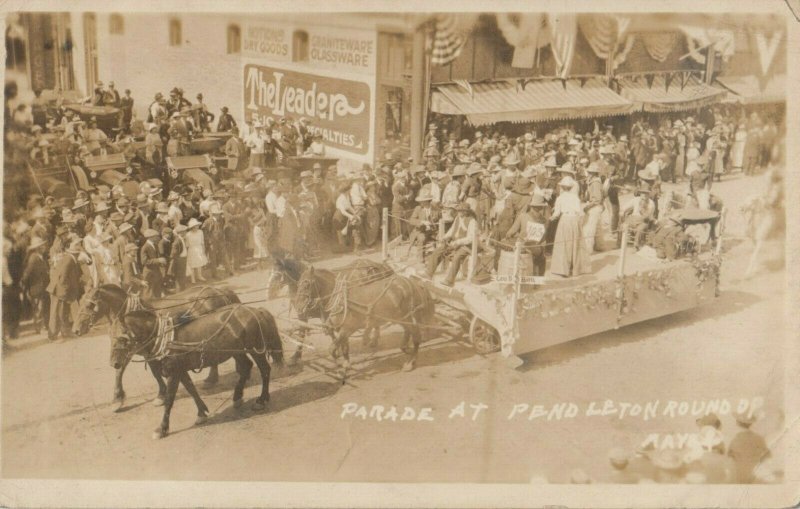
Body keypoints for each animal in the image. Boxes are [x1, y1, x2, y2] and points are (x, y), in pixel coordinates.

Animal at [74, 284, 239, 410]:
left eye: (89, 305)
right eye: (79, 304)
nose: (75, 330)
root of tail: (219, 291)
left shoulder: (140, 350)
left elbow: (151, 372)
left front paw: (160, 395)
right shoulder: (132, 350)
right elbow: (121, 371)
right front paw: (117, 399)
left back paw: (213, 378)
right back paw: (212, 378)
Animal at [119, 304, 282, 438]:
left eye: (122, 337)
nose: (116, 363)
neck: (166, 339)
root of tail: (257, 310)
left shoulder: (173, 373)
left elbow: (170, 400)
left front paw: (162, 428)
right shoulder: (181, 371)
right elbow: (192, 390)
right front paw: (202, 413)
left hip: (255, 348)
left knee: (264, 370)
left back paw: (261, 400)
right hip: (237, 351)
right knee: (246, 367)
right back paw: (237, 397)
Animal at [292, 260, 434, 372]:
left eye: (307, 284)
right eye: (298, 284)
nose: (298, 307)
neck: (340, 297)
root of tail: (415, 283)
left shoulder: (347, 328)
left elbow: (332, 349)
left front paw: (341, 362)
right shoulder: (342, 328)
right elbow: (342, 347)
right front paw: (345, 362)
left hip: (409, 317)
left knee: (416, 337)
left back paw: (410, 362)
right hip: (402, 317)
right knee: (408, 333)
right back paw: (405, 348)